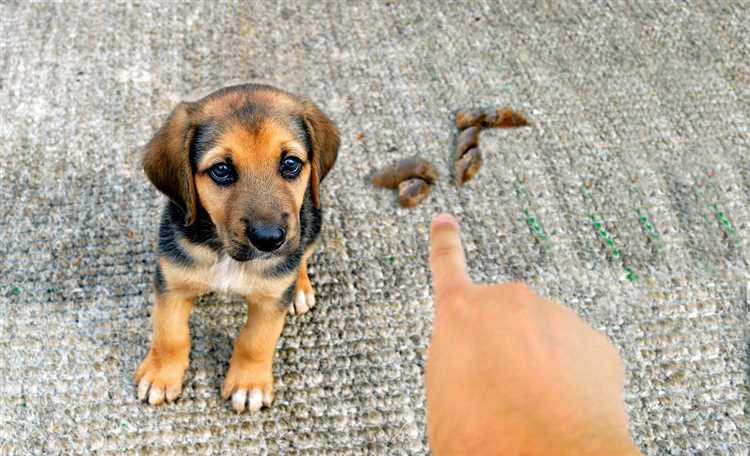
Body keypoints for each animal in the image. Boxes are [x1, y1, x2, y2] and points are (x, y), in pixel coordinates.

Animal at [135, 83, 340, 414]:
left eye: (291, 164)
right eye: (221, 170)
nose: (269, 239)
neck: (225, 253)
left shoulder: (270, 300)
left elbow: (255, 341)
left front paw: (248, 384)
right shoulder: (171, 283)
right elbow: (170, 335)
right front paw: (161, 375)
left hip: (313, 222)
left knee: (302, 256)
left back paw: (299, 288)